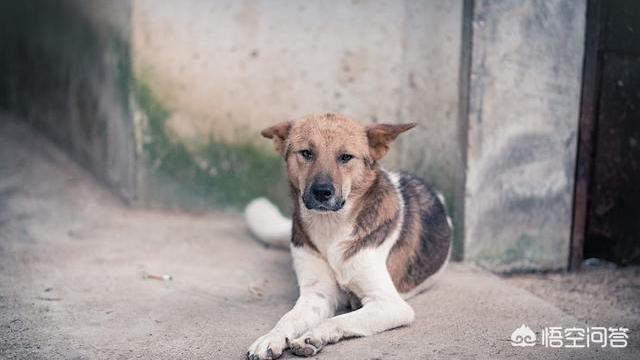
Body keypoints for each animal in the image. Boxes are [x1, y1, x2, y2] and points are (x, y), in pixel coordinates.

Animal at [245, 114, 450, 358]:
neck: (331, 227)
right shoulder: (316, 296)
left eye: (346, 157)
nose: (322, 192)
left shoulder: (390, 304)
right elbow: (288, 319)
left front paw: (314, 336)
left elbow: (340, 319)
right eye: (306, 153)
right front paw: (271, 338)